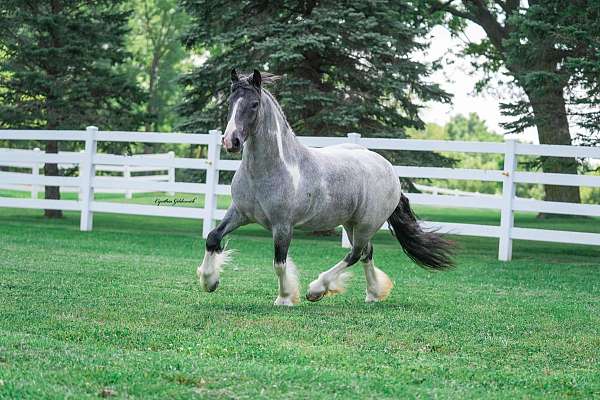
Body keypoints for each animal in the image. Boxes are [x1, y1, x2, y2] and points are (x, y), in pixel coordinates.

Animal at [198, 69, 454, 306]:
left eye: (254, 104)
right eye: (231, 102)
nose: (231, 141)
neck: (270, 169)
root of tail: (388, 168)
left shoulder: (283, 226)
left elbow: (279, 263)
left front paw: (285, 297)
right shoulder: (240, 213)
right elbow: (212, 237)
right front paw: (210, 281)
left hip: (366, 224)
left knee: (355, 253)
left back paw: (317, 289)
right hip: (351, 224)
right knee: (367, 253)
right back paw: (373, 293)